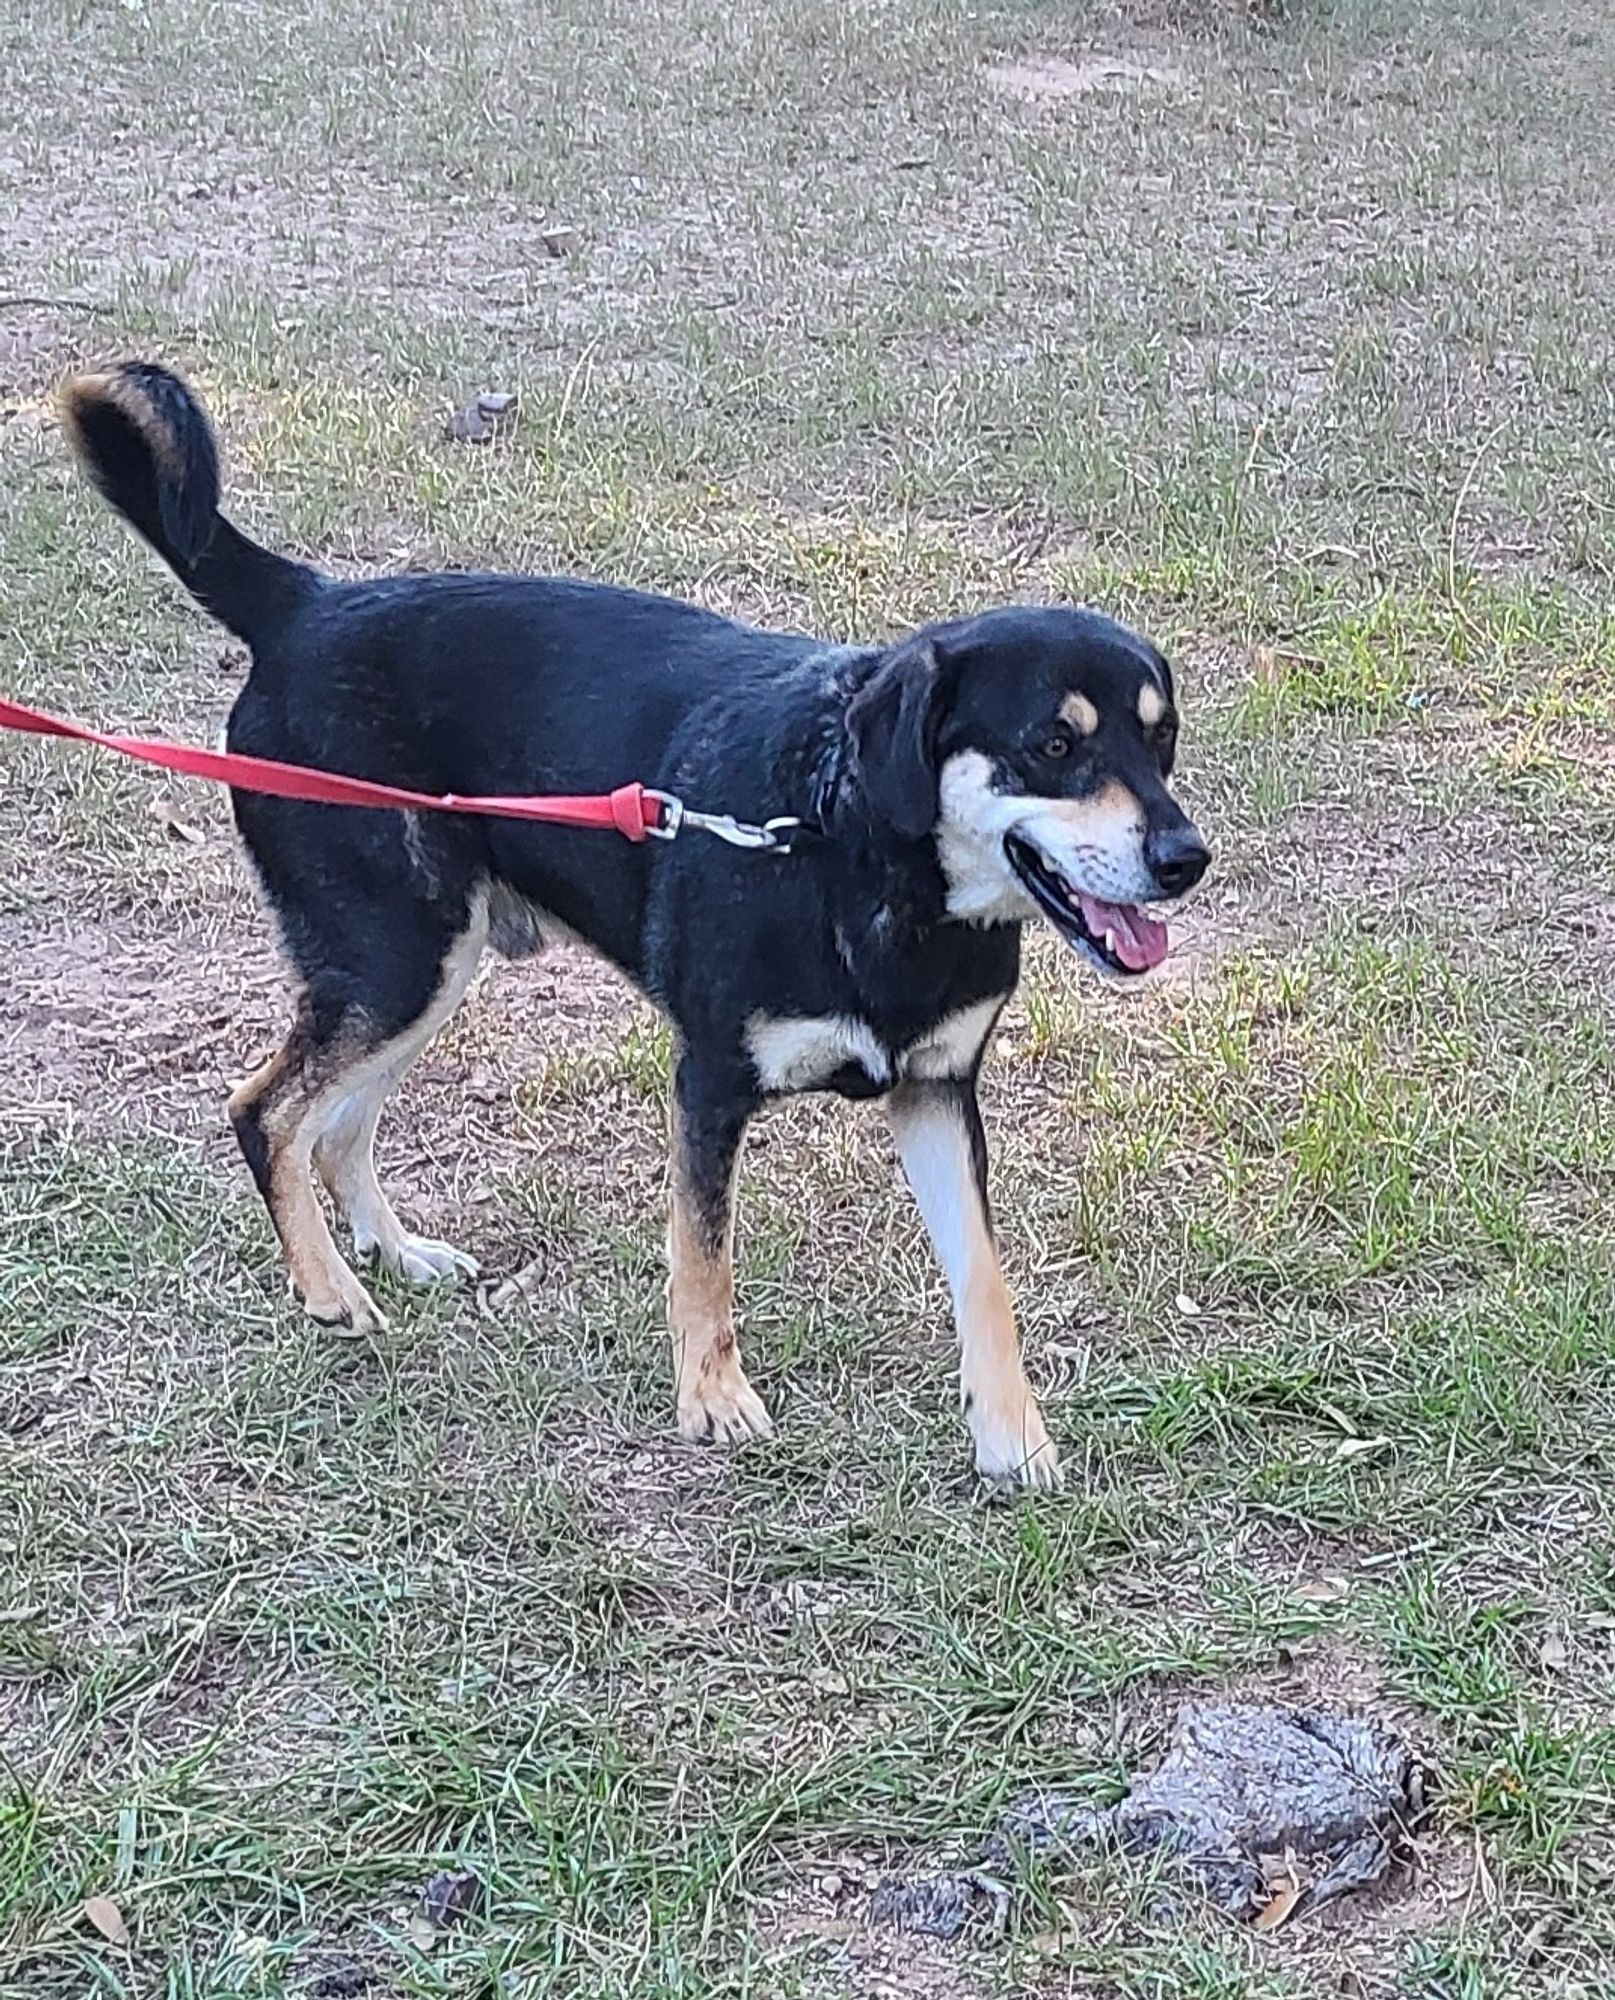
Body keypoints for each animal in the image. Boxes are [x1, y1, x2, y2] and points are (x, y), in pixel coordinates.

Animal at [59, 364, 1215, 1488]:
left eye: (1158, 741)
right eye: (1052, 746)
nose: (1184, 858)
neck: (848, 847)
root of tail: (304, 606)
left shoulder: (935, 1091)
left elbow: (983, 1277)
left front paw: (1011, 1435)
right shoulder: (708, 1079)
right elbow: (703, 1254)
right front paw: (712, 1396)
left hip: (427, 966)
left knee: (337, 1123)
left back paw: (394, 1251)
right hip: (394, 957)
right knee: (267, 1112)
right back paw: (329, 1287)